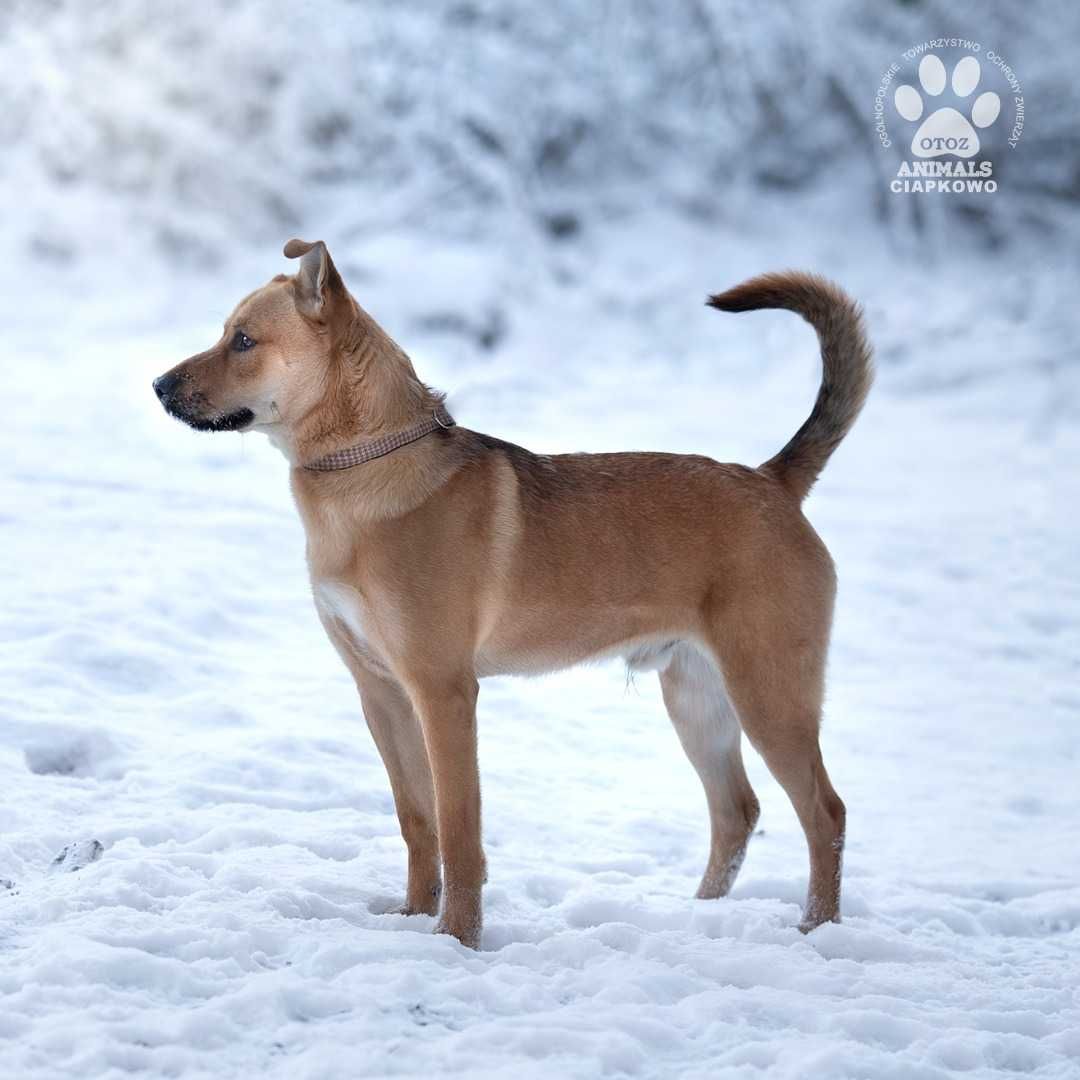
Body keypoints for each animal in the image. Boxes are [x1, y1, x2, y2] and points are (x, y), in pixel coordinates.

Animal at [152, 240, 872, 950]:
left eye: (243, 340)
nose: (159, 386)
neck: (366, 466)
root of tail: (773, 481)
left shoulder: (443, 691)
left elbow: (458, 828)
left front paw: (458, 940)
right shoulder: (381, 691)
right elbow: (418, 820)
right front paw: (413, 920)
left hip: (769, 692)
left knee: (826, 812)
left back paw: (816, 928)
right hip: (697, 697)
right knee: (736, 811)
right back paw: (701, 920)